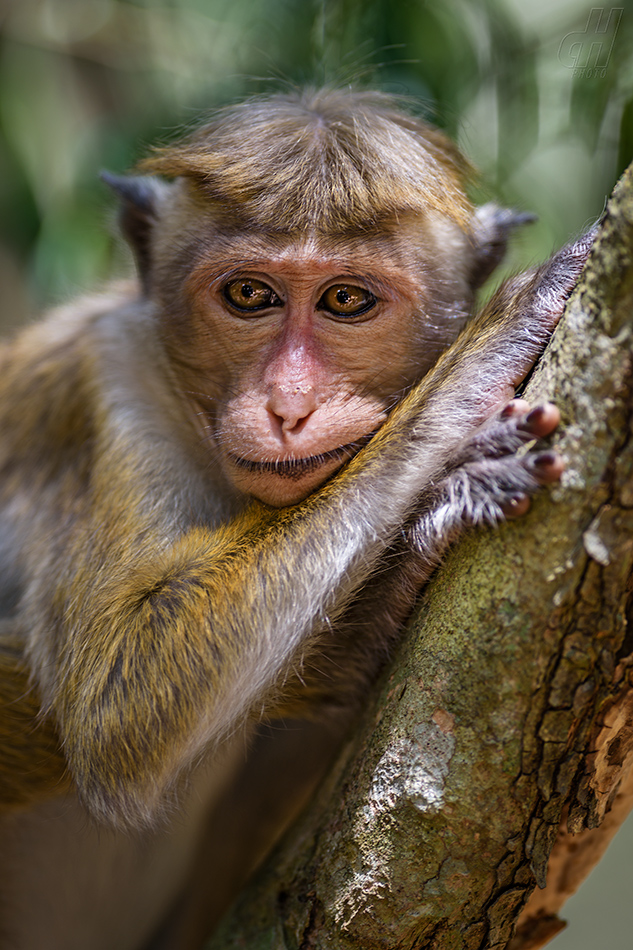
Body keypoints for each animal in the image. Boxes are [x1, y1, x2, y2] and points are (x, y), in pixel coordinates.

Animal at [0, 89, 592, 950]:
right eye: (250, 296)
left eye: (347, 300)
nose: (288, 404)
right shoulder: (100, 386)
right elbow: (122, 693)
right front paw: (497, 338)